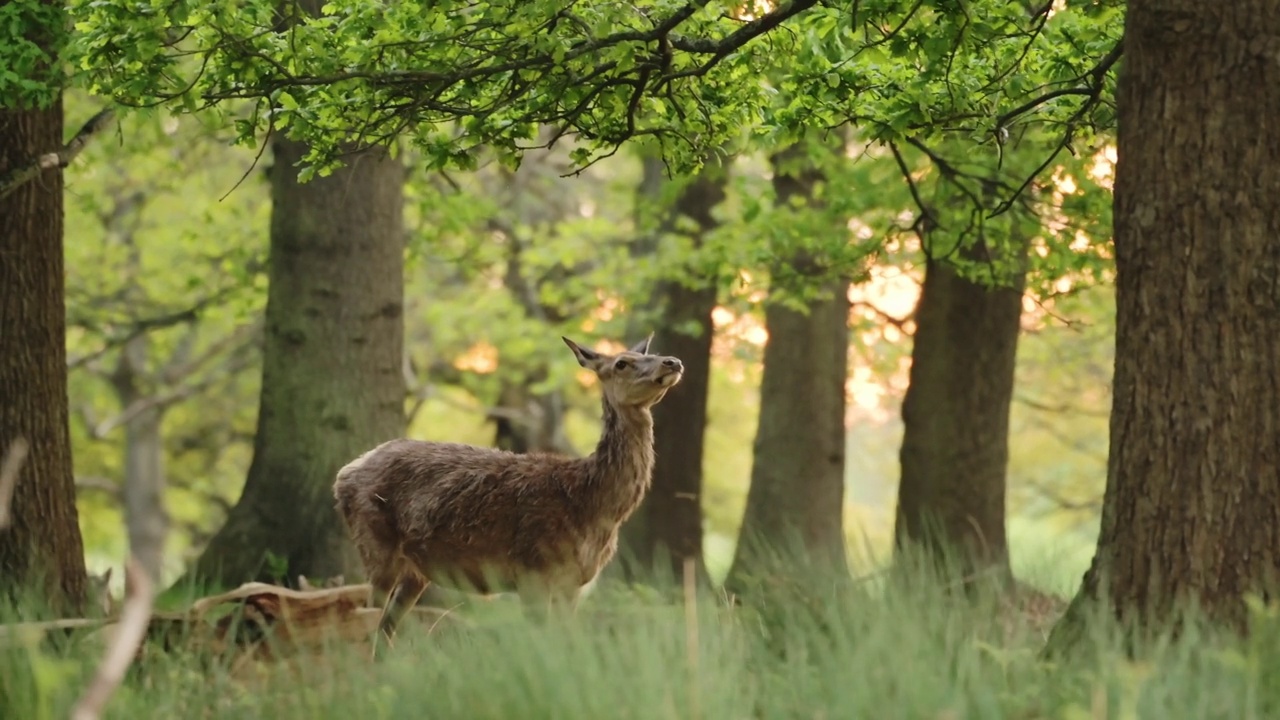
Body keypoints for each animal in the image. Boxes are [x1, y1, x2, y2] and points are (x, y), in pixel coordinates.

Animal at [335, 333, 686, 648]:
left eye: (647, 353)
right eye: (622, 363)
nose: (672, 361)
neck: (593, 506)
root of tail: (343, 476)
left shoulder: (574, 584)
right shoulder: (533, 571)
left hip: (416, 570)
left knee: (385, 628)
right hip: (376, 545)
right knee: (366, 620)